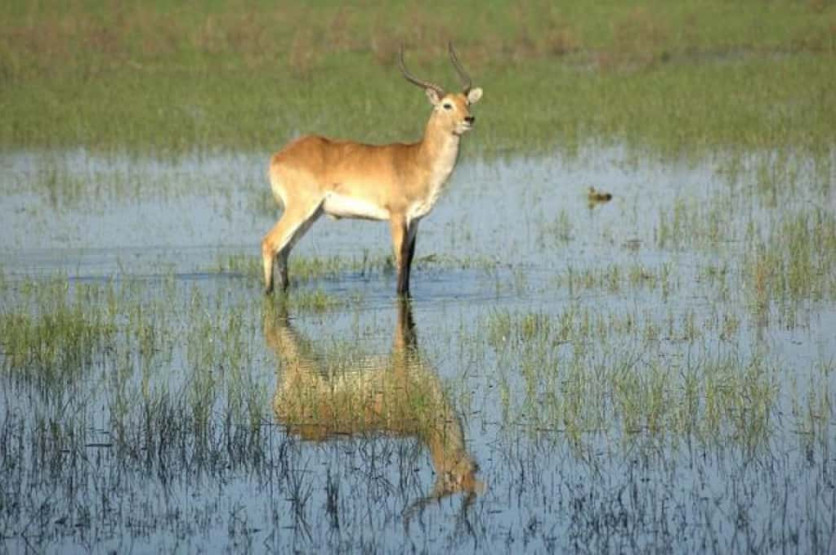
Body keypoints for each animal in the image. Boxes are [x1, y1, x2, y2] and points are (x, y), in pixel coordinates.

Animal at [262, 44, 484, 296]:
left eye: (468, 102)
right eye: (447, 105)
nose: (469, 119)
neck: (418, 159)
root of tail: (278, 156)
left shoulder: (416, 220)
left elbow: (410, 258)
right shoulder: (397, 216)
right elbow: (400, 257)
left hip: (312, 214)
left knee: (284, 250)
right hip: (300, 208)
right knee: (270, 243)